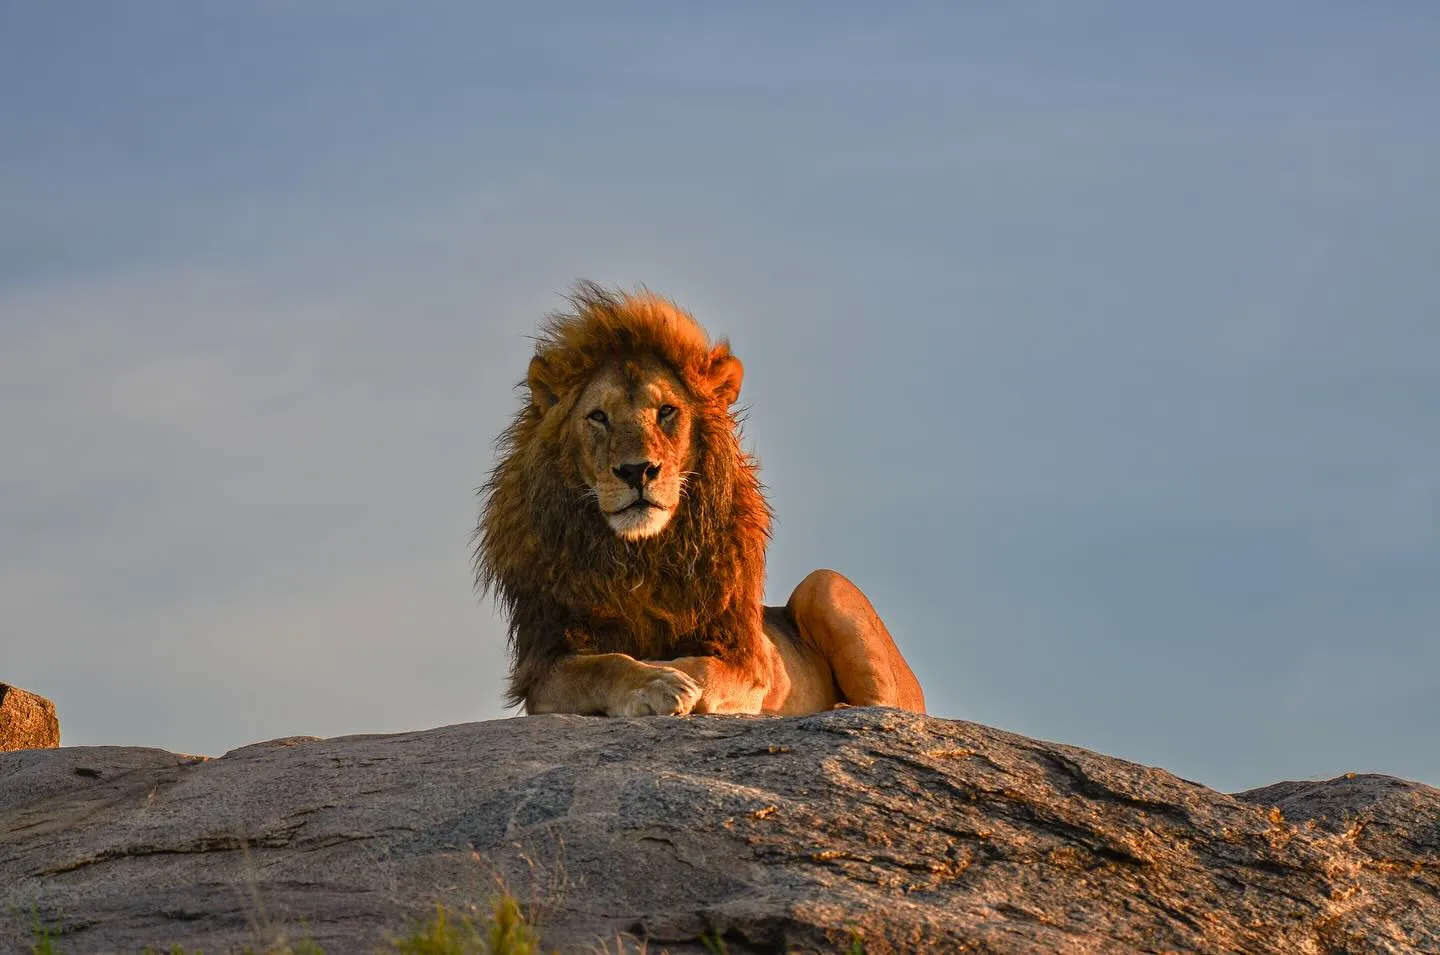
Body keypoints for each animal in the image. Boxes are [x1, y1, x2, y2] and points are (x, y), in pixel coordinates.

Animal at [474, 282, 926, 717]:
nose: (637, 471)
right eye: (598, 417)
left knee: (885, 708)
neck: (641, 555)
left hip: (825, 584)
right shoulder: (545, 666)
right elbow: (606, 664)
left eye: (666, 411)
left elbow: (704, 666)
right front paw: (656, 680)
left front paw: (669, 676)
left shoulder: (750, 660)